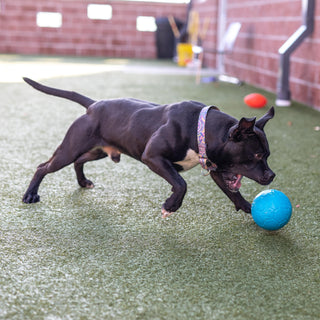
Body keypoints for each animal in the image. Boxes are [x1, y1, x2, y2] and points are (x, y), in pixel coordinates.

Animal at [22, 78, 276, 218]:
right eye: (256, 155)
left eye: (267, 155)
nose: (272, 176)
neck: (201, 127)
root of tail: (93, 105)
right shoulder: (153, 157)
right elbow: (181, 183)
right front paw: (171, 206)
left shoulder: (217, 169)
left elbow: (233, 193)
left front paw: (250, 209)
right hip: (69, 149)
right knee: (43, 166)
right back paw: (30, 194)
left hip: (98, 151)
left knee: (79, 160)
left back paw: (83, 182)